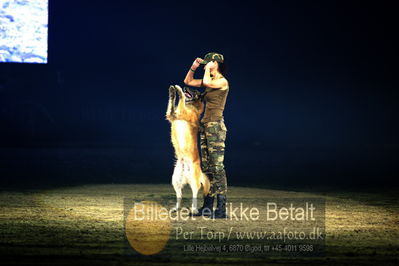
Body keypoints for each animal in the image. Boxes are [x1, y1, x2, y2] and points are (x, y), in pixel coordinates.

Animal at [166, 85, 211, 214]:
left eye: (195, 90)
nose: (186, 86)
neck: (192, 106)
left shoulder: (181, 112)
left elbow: (180, 100)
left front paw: (178, 90)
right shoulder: (172, 115)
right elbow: (172, 104)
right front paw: (172, 92)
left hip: (194, 181)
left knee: (195, 194)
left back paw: (194, 210)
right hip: (175, 180)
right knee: (179, 196)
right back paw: (176, 208)